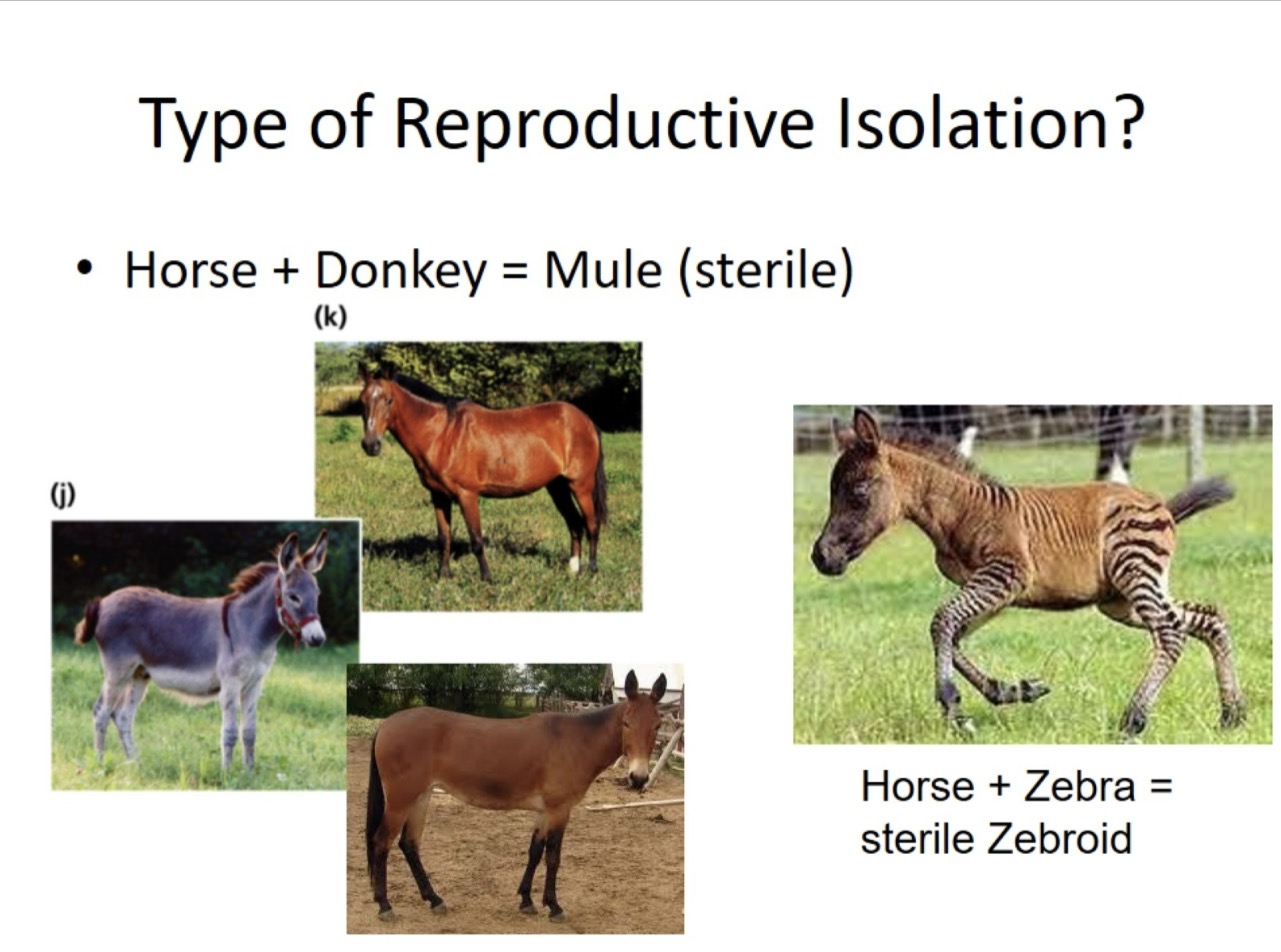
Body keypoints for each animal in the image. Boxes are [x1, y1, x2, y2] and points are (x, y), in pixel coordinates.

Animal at [74, 531, 329, 770]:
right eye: (293, 597)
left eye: (317, 595)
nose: (318, 639)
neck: (248, 627)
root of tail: (103, 602)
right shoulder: (230, 683)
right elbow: (229, 733)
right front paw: (226, 774)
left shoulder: (254, 683)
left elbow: (249, 733)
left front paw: (249, 774)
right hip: (118, 670)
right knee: (101, 713)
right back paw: (100, 764)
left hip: (139, 673)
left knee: (123, 716)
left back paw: (136, 765)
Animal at [358, 366, 607, 581]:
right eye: (362, 401)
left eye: (389, 400)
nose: (370, 445)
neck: (444, 434)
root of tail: (585, 420)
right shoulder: (439, 495)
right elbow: (444, 537)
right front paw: (443, 575)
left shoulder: (467, 495)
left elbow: (476, 539)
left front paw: (487, 578)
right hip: (557, 487)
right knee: (575, 524)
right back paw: (573, 568)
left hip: (581, 486)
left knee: (591, 524)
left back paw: (592, 569)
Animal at [365, 669, 666, 922]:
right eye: (626, 723)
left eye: (657, 726)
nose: (639, 778)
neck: (576, 741)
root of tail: (386, 725)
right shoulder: (559, 810)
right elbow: (553, 857)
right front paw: (554, 906)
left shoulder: (544, 811)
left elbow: (535, 852)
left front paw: (526, 901)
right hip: (401, 800)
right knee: (382, 842)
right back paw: (384, 905)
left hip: (421, 797)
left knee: (409, 844)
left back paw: (434, 899)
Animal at [811, 409, 1244, 738]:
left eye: (859, 491)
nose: (821, 557)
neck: (960, 510)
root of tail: (1161, 506)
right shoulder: (996, 591)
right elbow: (953, 637)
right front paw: (1011, 691)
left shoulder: (1005, 576)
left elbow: (942, 621)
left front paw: (954, 708)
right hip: (1121, 599)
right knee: (1206, 619)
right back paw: (1232, 715)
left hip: (1134, 574)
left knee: (1171, 633)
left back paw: (1134, 719)